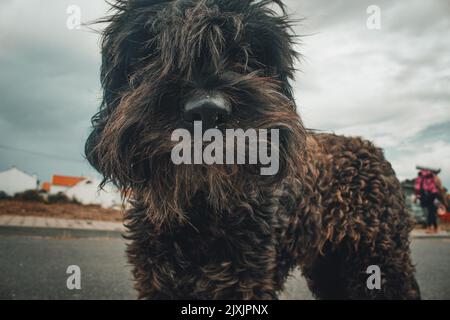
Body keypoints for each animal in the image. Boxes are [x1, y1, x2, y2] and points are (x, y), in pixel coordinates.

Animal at [85, 0, 422, 300]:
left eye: (247, 54)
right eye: (153, 48)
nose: (207, 111)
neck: (201, 210)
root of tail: (373, 150)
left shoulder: (246, 280)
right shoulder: (157, 278)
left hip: (377, 260)